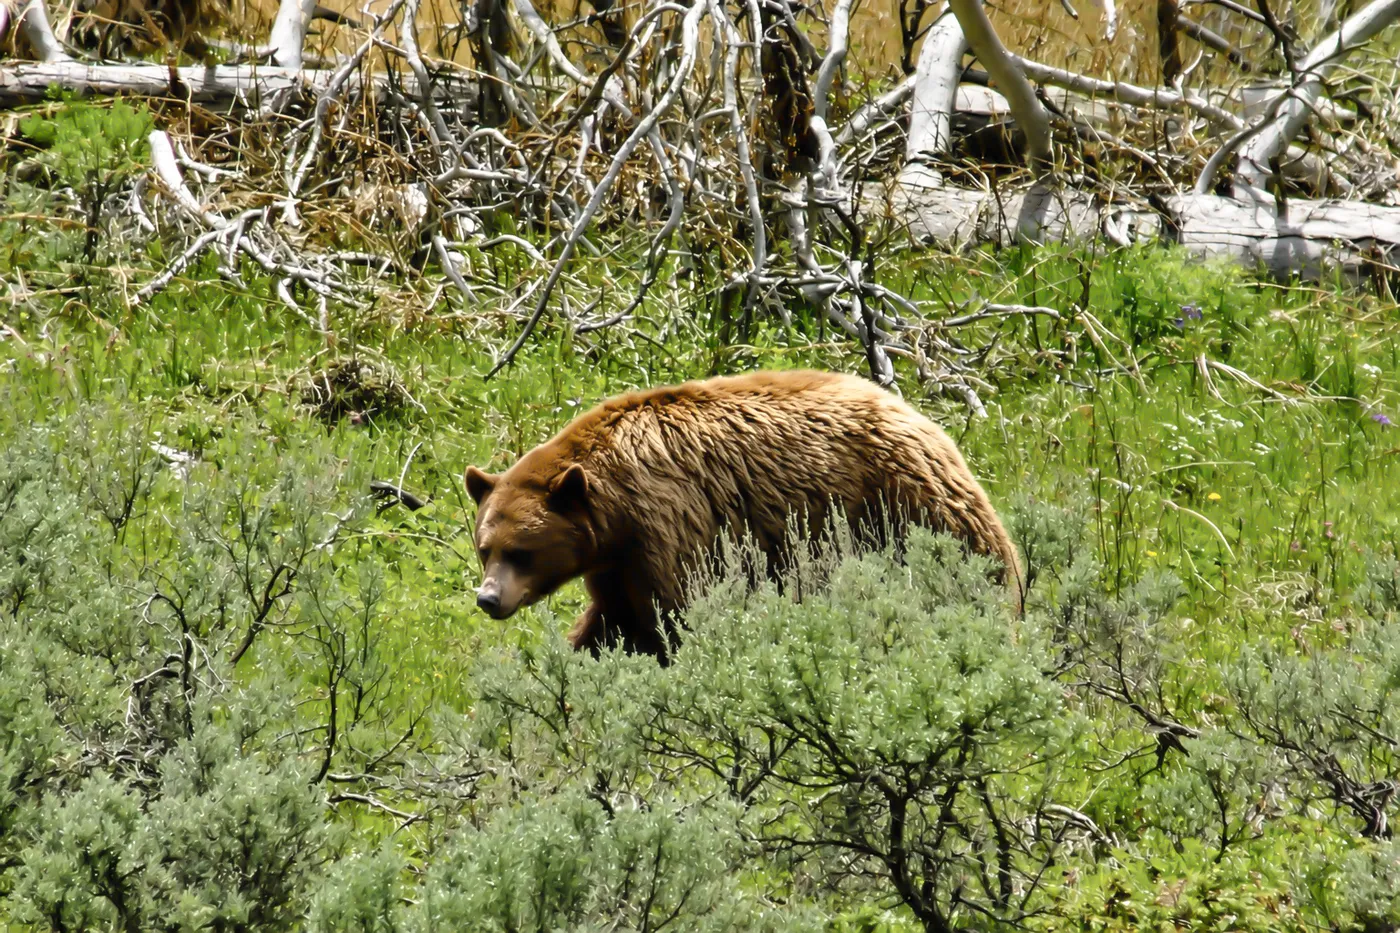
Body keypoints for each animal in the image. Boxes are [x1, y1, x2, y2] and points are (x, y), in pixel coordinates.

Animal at [465, 369, 1022, 662]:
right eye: (485, 549)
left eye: (522, 551)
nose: (488, 599)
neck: (614, 509)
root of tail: (918, 415)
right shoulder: (616, 560)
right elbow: (613, 619)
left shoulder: (668, 521)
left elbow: (676, 609)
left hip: (903, 500)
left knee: (971, 553)